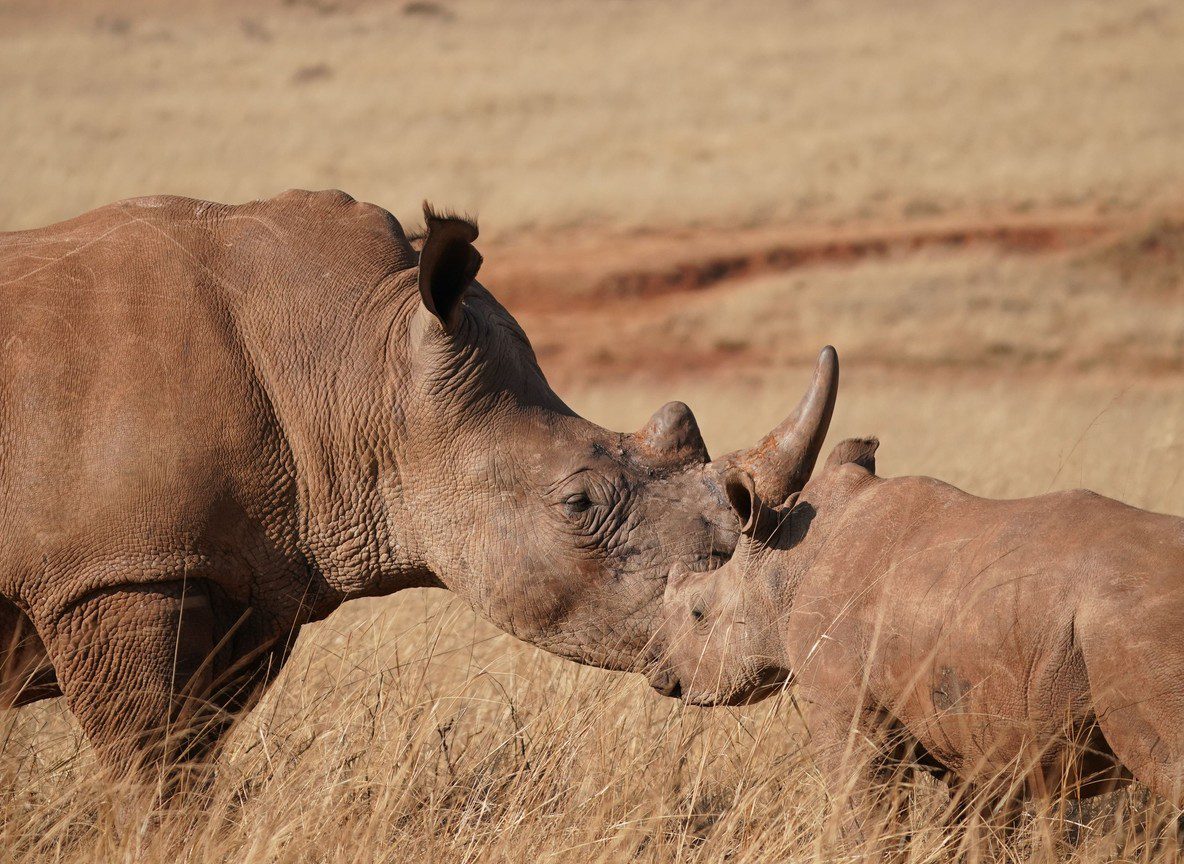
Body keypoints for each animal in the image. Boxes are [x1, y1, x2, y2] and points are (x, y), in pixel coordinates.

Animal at [0, 190, 814, 774]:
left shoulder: (244, 576)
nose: (753, 618)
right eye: (579, 503)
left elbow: (194, 754)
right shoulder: (116, 569)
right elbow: (153, 767)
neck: (355, 359)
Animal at [655, 347, 1184, 837]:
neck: (786, 561)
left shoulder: (844, 703)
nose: (666, 682)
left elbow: (866, 816)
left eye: (699, 614)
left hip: (1137, 627)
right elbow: (972, 828)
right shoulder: (975, 733)